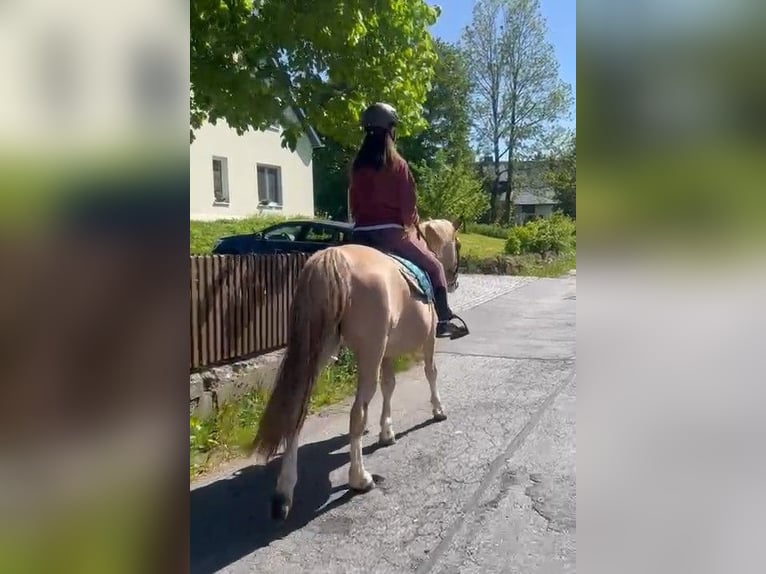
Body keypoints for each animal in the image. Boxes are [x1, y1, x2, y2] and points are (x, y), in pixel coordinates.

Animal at [255, 217, 464, 520]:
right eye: (457, 244)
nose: (455, 280)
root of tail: (334, 257)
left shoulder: (386, 353)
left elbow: (390, 386)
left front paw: (387, 432)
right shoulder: (427, 342)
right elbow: (430, 373)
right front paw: (438, 409)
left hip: (318, 351)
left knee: (297, 412)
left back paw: (283, 494)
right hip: (367, 354)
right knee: (357, 414)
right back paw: (359, 478)